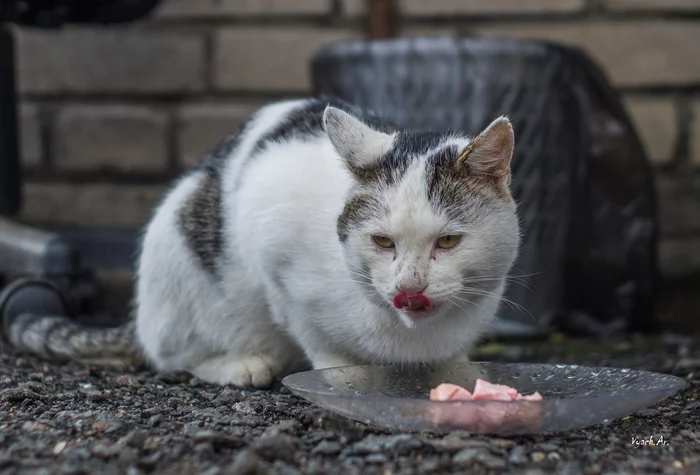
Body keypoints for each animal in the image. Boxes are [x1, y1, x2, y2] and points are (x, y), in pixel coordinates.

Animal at [5, 98, 520, 388]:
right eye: (381, 241)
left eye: (448, 241)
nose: (409, 289)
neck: (409, 338)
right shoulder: (275, 259)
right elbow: (316, 338)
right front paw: (346, 377)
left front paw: (457, 371)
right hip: (178, 247)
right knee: (172, 356)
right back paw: (239, 365)